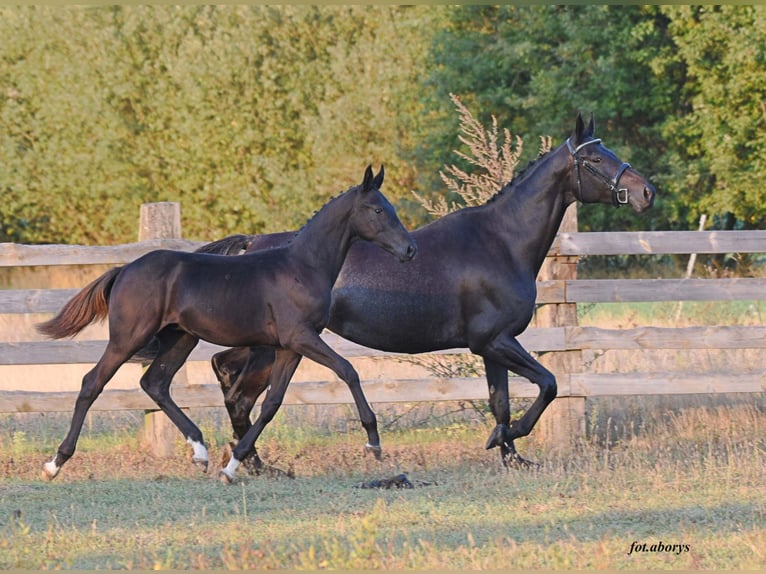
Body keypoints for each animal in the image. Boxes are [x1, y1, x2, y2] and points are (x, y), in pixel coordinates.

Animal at [36, 165, 417, 481]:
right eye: (378, 210)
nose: (409, 250)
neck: (301, 267)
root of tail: (125, 269)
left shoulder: (289, 347)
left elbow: (272, 402)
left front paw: (233, 466)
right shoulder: (301, 338)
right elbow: (348, 371)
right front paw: (373, 443)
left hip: (180, 338)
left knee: (155, 383)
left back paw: (200, 452)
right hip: (128, 337)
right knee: (92, 383)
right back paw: (55, 463)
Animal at [198, 114, 656, 475]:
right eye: (595, 159)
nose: (647, 192)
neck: (501, 242)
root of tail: (250, 245)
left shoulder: (492, 347)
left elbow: (500, 402)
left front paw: (511, 455)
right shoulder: (495, 341)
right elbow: (548, 384)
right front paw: (504, 440)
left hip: (273, 346)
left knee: (232, 382)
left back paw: (251, 462)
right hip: (274, 346)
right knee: (239, 394)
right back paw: (251, 462)